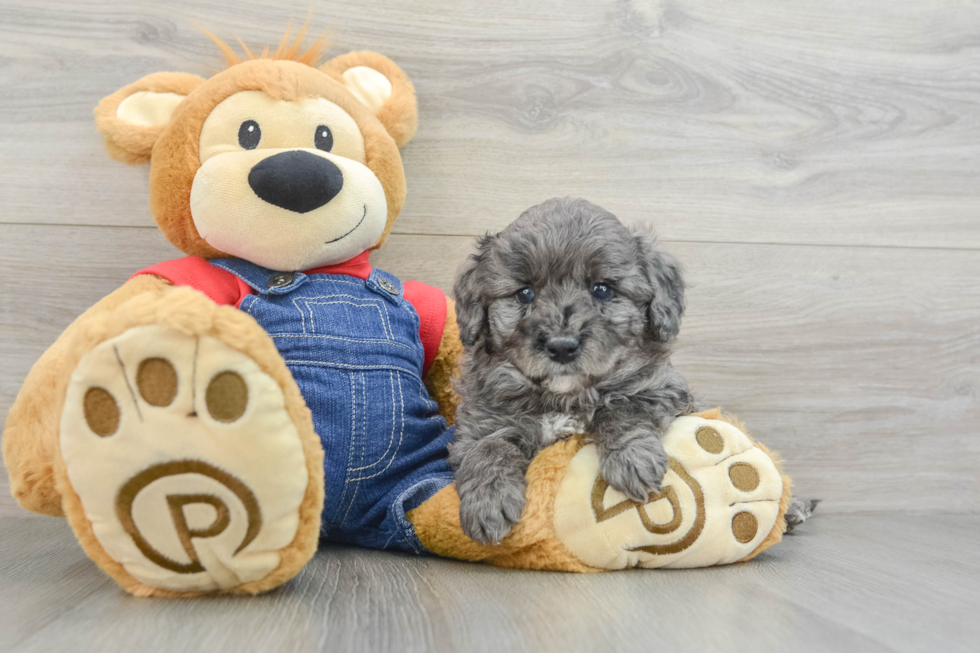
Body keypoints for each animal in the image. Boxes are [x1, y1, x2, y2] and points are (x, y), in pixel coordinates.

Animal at [450, 196, 696, 544]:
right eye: (524, 293)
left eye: (602, 289)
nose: (562, 346)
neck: (564, 397)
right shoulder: (479, 424)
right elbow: (489, 446)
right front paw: (488, 500)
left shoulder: (660, 389)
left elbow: (622, 408)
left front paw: (632, 459)